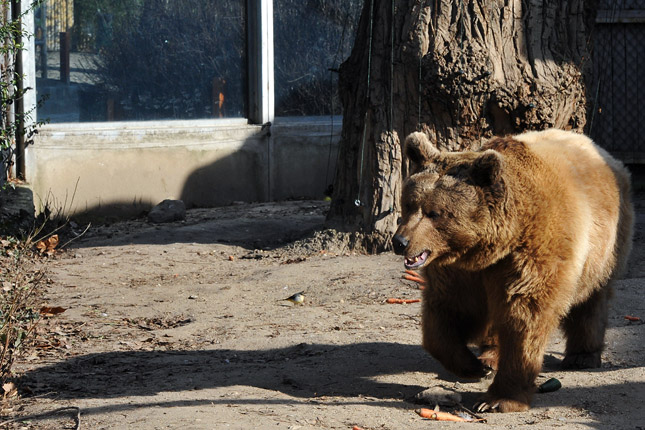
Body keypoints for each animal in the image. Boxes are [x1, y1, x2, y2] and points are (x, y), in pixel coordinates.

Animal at [392, 128, 632, 414]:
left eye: (435, 213)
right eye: (409, 204)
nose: (400, 242)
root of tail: (600, 149)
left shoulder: (532, 252)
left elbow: (524, 318)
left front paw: (497, 399)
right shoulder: (461, 272)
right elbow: (447, 315)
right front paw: (473, 366)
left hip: (603, 248)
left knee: (591, 301)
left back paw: (582, 356)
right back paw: (490, 355)